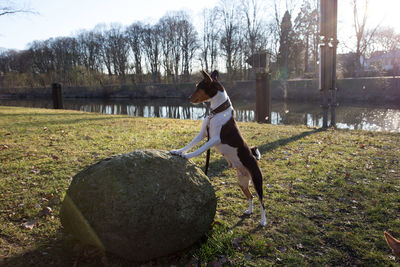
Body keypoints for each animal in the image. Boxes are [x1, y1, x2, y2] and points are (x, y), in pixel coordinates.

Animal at [170, 70, 266, 227]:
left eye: (199, 87)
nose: (188, 98)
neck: (217, 113)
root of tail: (254, 159)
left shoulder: (214, 138)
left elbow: (200, 149)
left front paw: (187, 156)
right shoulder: (203, 134)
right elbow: (191, 143)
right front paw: (178, 151)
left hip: (257, 182)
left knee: (261, 202)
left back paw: (263, 221)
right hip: (242, 182)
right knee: (250, 196)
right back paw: (249, 211)